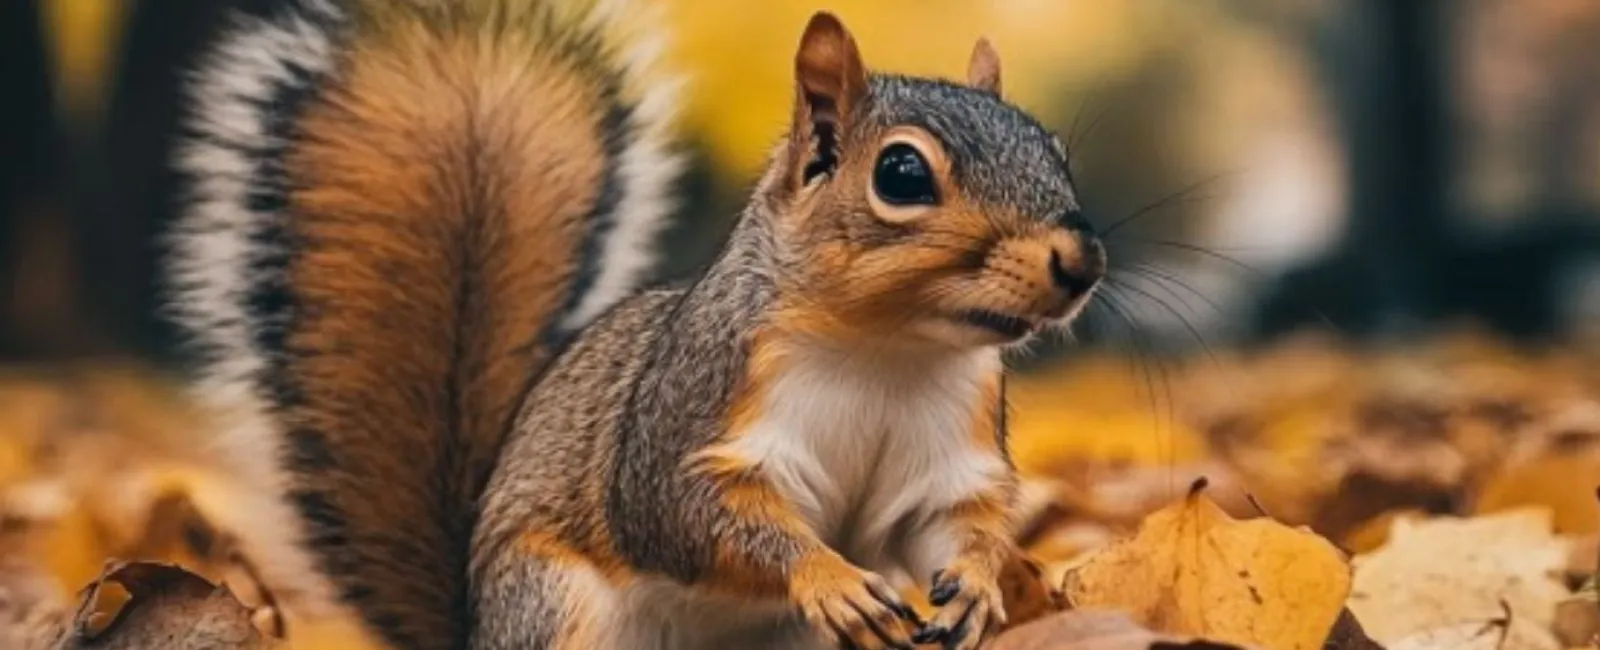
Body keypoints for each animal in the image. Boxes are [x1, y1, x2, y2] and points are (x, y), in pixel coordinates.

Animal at [168, 1, 1107, 650]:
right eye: (902, 173)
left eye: (1055, 150)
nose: (1081, 258)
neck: (887, 349)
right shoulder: (690, 406)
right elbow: (685, 514)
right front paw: (827, 574)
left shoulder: (950, 448)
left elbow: (944, 523)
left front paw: (979, 585)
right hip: (552, 604)